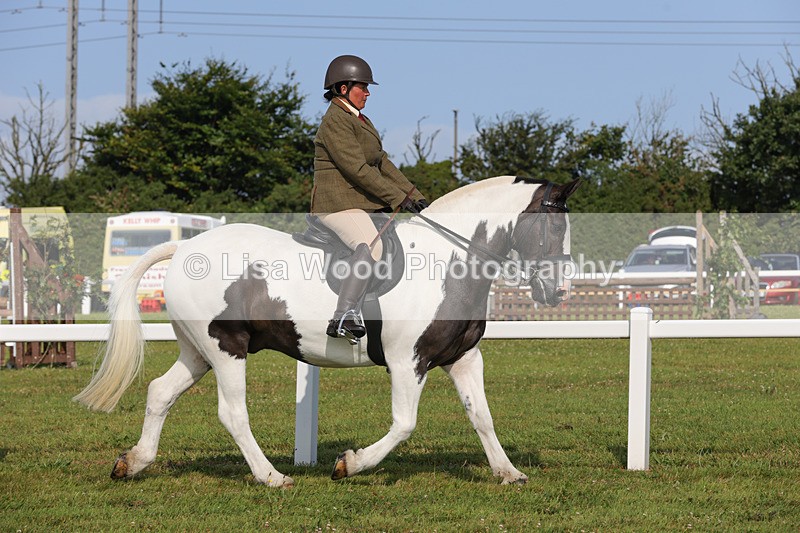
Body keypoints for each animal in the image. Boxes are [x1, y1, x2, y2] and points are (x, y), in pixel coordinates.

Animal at [74, 175, 581, 488]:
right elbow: (404, 424)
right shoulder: (408, 361)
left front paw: (508, 472)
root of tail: (185, 247)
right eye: (553, 227)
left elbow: (483, 417)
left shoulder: (461, 358)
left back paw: (133, 463)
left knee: (160, 392)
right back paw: (272, 477)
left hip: (198, 351)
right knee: (233, 414)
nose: (557, 291)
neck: (448, 261)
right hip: (226, 348)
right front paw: (350, 464)